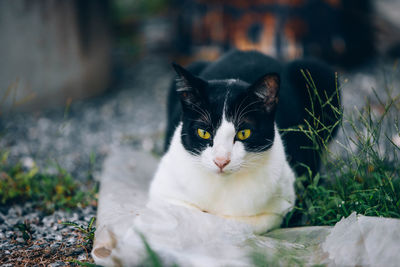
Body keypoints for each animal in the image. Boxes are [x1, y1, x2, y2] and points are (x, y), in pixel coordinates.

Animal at [150, 50, 340, 234]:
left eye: (243, 133)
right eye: (203, 133)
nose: (221, 161)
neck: (222, 188)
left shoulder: (281, 205)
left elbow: (238, 222)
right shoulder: (163, 192)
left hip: (322, 75)